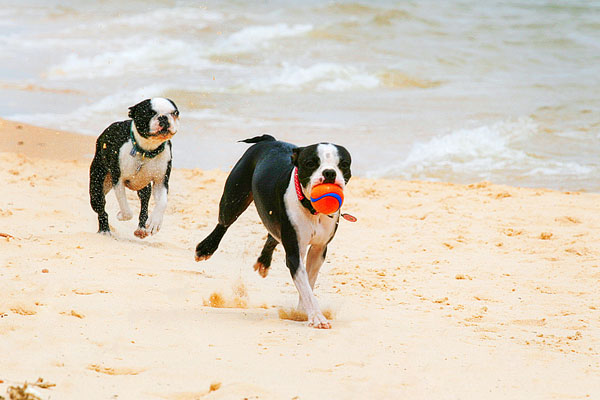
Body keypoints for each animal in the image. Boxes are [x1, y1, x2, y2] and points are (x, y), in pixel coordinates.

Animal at [88, 98, 178, 239]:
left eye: (175, 113)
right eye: (149, 113)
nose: (163, 117)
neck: (146, 150)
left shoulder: (161, 181)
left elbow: (162, 203)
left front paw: (155, 222)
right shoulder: (118, 180)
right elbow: (126, 209)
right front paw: (121, 215)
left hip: (144, 188)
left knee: (144, 205)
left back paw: (141, 228)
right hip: (97, 186)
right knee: (101, 208)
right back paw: (105, 230)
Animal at [195, 134, 352, 328]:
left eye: (343, 164)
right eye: (310, 163)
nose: (329, 172)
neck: (311, 209)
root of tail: (269, 139)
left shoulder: (319, 249)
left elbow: (308, 281)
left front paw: (302, 311)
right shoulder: (294, 252)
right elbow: (305, 285)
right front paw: (316, 316)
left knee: (272, 235)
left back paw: (263, 262)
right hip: (234, 197)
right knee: (223, 224)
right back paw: (205, 248)